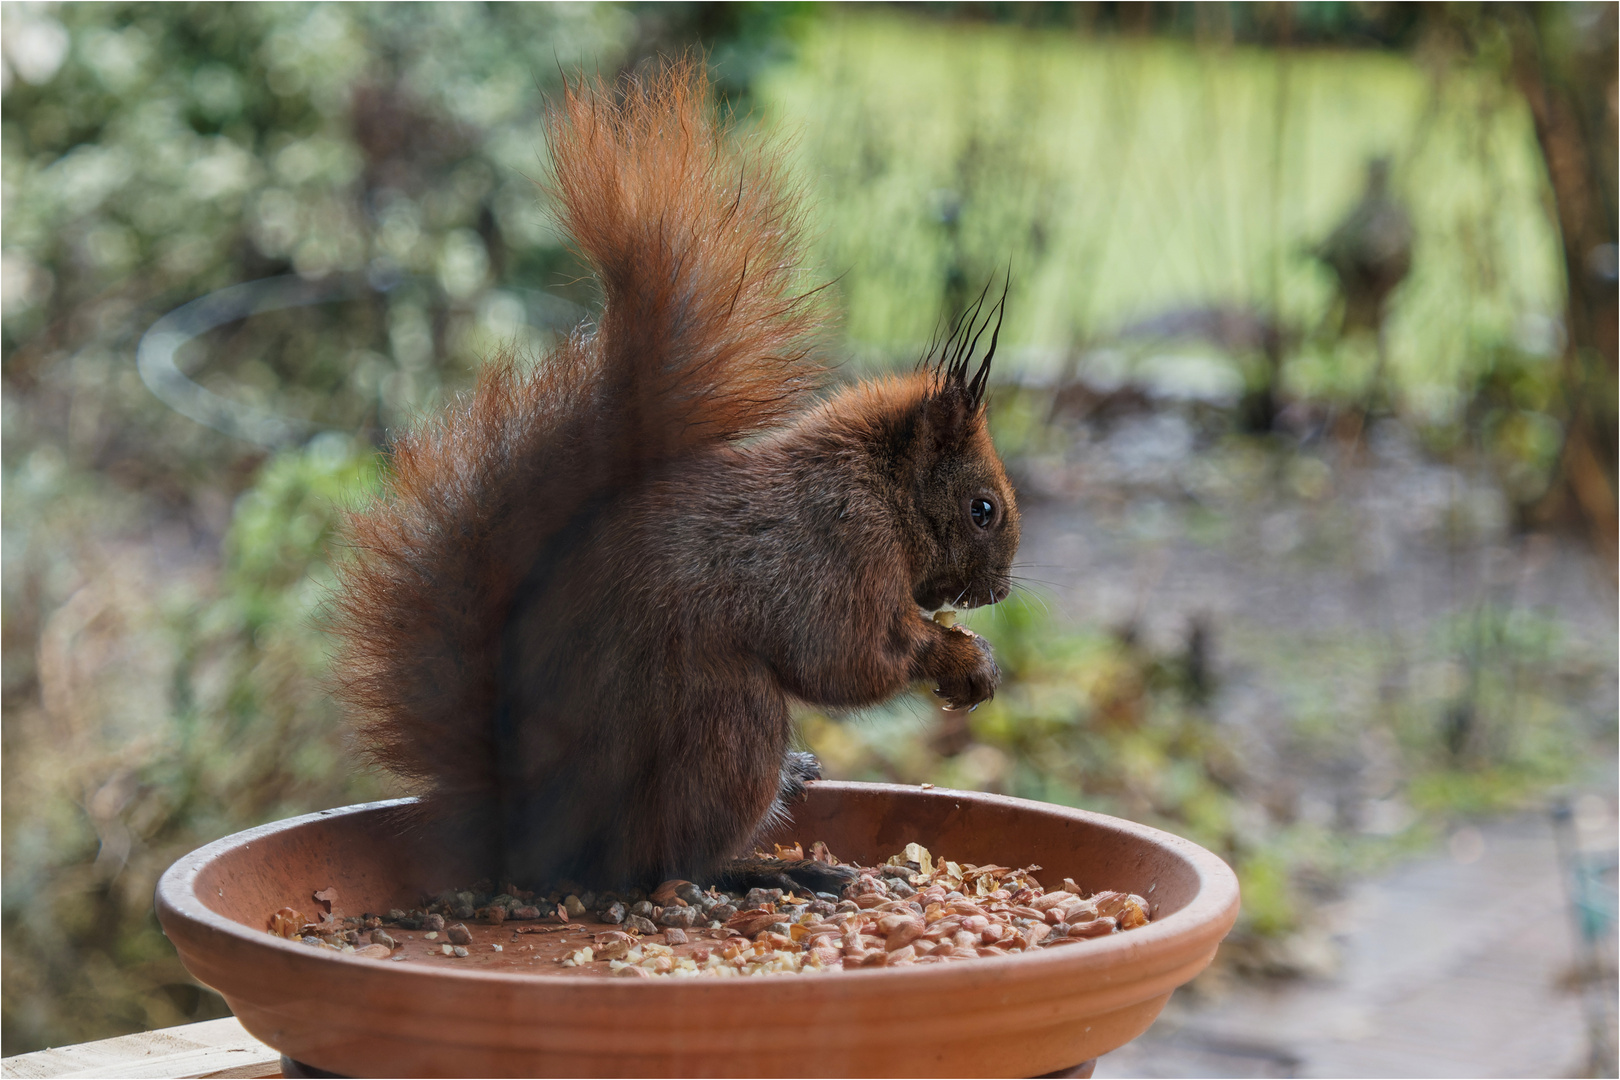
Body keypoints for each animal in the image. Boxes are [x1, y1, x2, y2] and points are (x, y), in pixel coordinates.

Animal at [333, 63, 1017, 900]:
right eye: (983, 509)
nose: (1000, 590)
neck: (877, 488)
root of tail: (532, 835)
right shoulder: (835, 555)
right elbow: (850, 659)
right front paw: (961, 659)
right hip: (727, 723)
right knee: (662, 864)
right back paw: (774, 868)